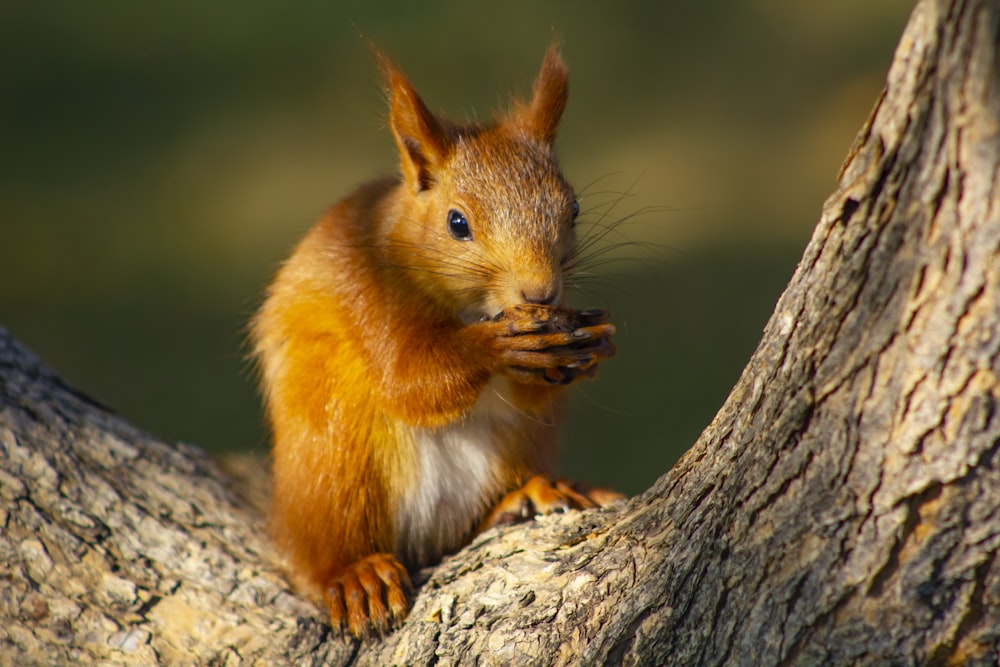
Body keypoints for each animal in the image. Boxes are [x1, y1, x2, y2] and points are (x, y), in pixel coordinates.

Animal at [250, 44, 620, 640]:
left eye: (575, 209)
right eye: (457, 223)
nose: (540, 292)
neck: (472, 311)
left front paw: (594, 342)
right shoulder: (366, 287)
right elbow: (410, 380)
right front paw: (494, 347)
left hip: (519, 444)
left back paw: (532, 494)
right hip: (331, 455)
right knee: (317, 552)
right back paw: (356, 575)